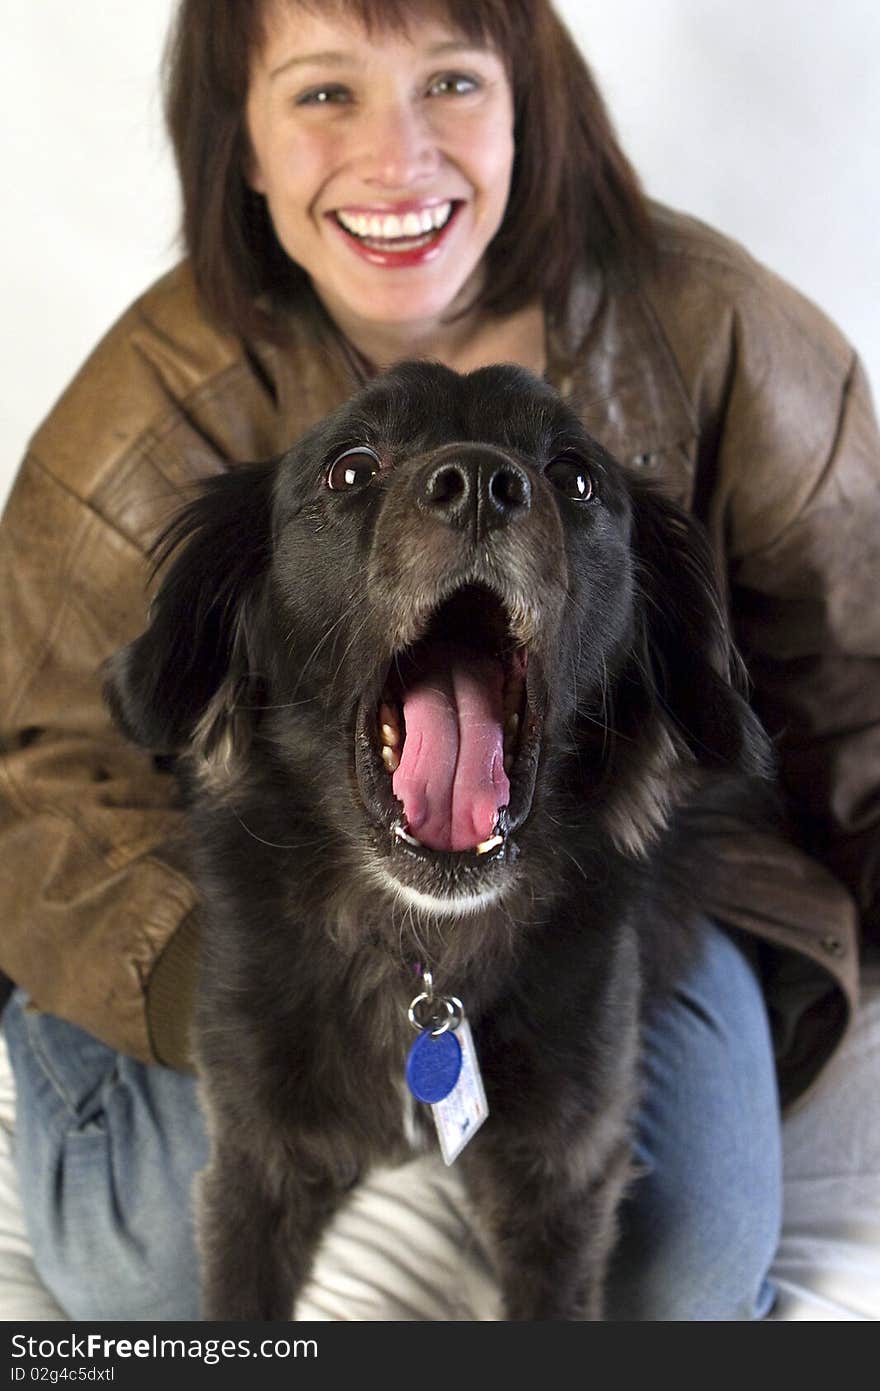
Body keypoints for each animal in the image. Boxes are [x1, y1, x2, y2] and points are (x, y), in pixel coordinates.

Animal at [104, 364, 767, 1318]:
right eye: (350, 469)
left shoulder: (563, 1178)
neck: (423, 963)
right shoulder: (255, 1158)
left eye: (574, 477)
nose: (484, 484)